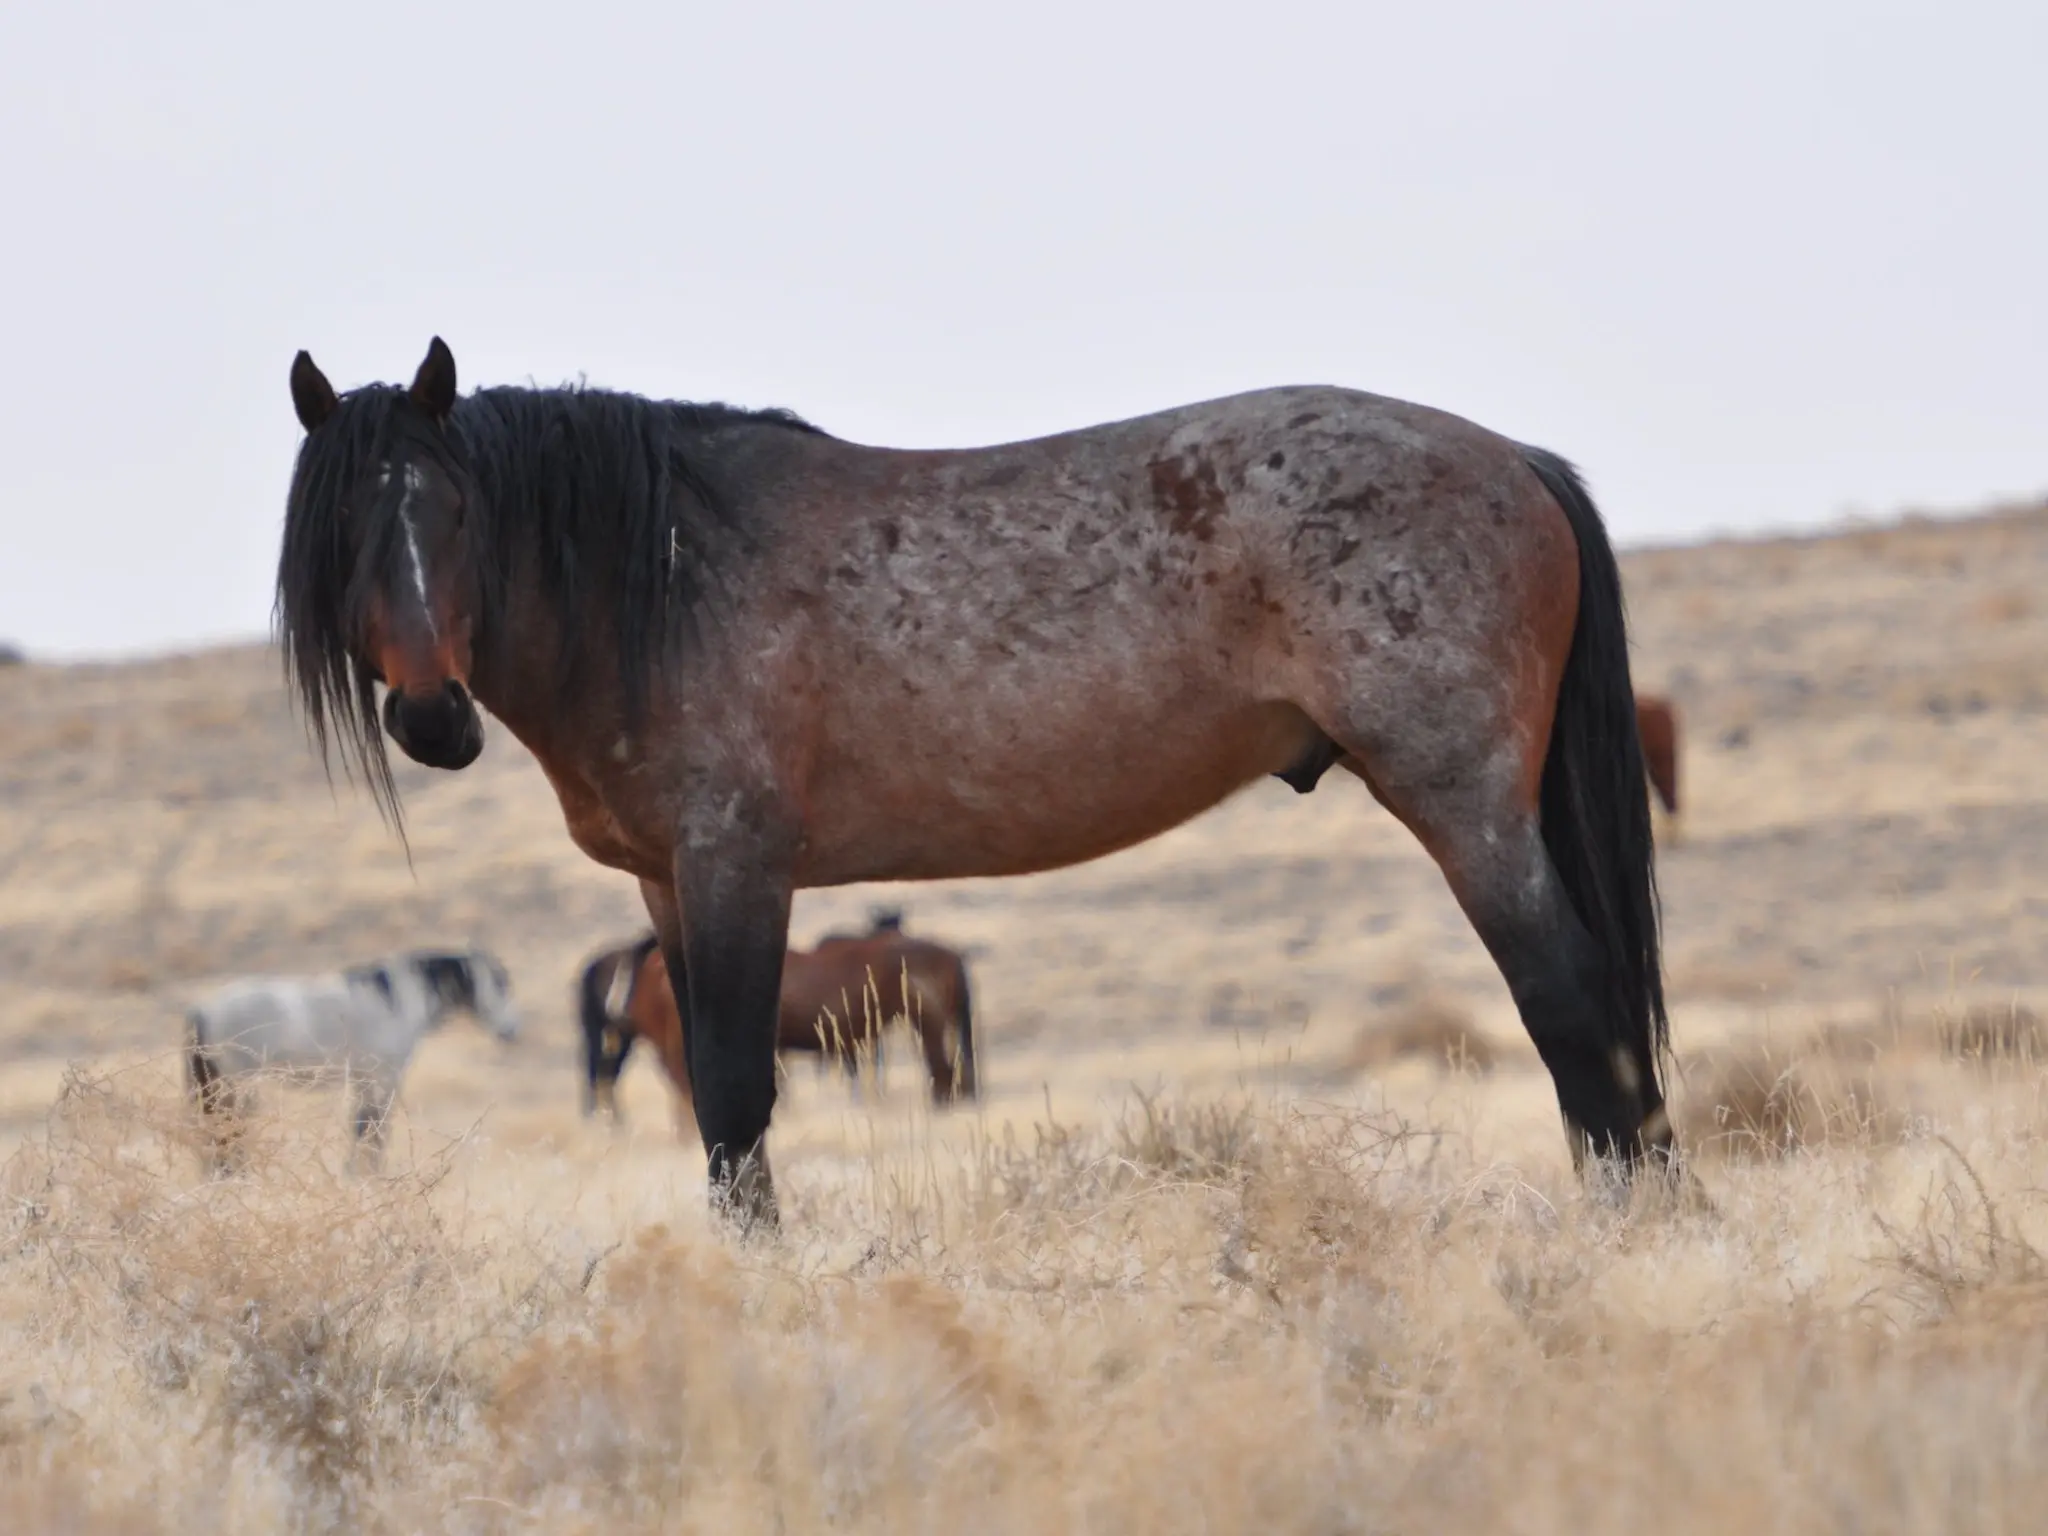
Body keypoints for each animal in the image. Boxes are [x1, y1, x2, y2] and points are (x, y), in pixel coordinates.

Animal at [185, 950, 520, 1179]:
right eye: (499, 983)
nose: (511, 1031)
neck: (395, 1004)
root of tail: (206, 1009)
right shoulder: (383, 1080)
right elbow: (374, 1129)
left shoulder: (362, 1081)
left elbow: (360, 1126)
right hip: (237, 1086)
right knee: (230, 1129)